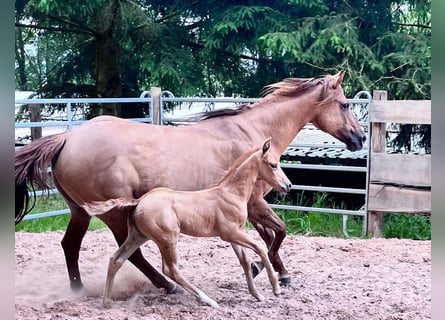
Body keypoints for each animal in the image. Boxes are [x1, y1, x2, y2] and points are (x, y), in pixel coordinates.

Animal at [83, 138, 292, 308]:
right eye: (273, 165)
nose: (288, 185)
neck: (231, 193)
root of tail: (140, 200)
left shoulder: (233, 236)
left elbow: (246, 262)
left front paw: (258, 295)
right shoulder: (230, 233)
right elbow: (260, 247)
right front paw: (275, 288)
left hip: (138, 236)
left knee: (116, 259)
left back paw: (107, 302)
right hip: (167, 238)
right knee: (170, 269)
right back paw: (207, 300)